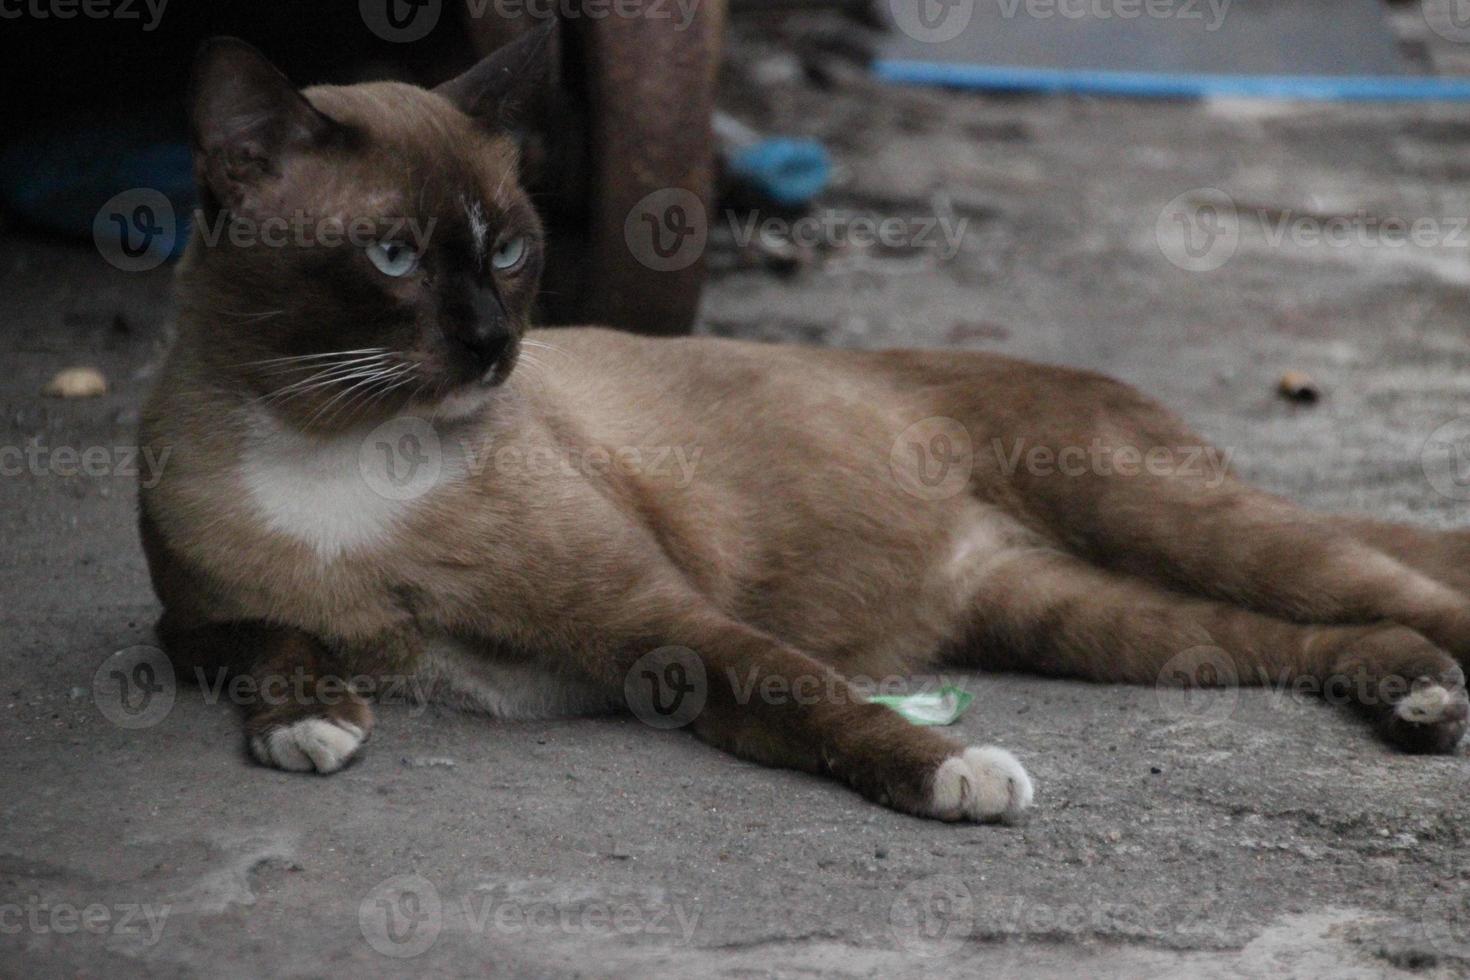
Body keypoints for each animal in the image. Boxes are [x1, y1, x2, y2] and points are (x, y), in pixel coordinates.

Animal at [140, 24, 1470, 828]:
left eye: (511, 250)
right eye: (393, 256)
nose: (493, 345)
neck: (339, 445)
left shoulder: (658, 630)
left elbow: (816, 700)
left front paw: (956, 775)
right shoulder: (192, 624)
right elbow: (268, 642)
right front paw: (310, 721)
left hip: (1173, 518)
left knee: (1398, 584)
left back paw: (1430, 693)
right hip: (1084, 619)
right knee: (1308, 633)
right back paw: (1416, 699)